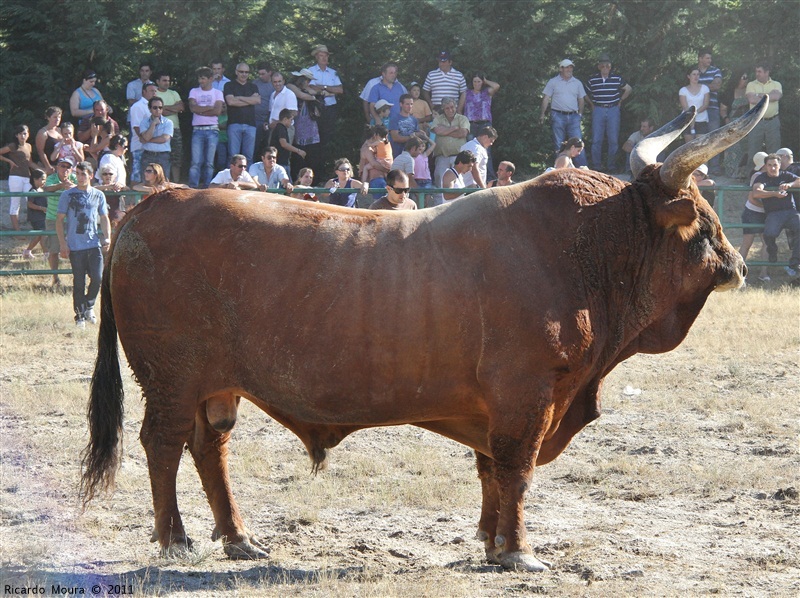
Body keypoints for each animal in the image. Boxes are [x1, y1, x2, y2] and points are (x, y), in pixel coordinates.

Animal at [83, 101, 768, 576]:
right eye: (700, 218)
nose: (738, 263)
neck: (586, 251)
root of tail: (155, 201)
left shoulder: (498, 405)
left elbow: (491, 469)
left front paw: (492, 541)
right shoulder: (527, 393)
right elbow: (516, 467)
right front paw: (519, 551)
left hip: (216, 384)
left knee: (210, 446)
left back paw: (238, 537)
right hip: (170, 377)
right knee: (163, 443)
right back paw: (176, 537)